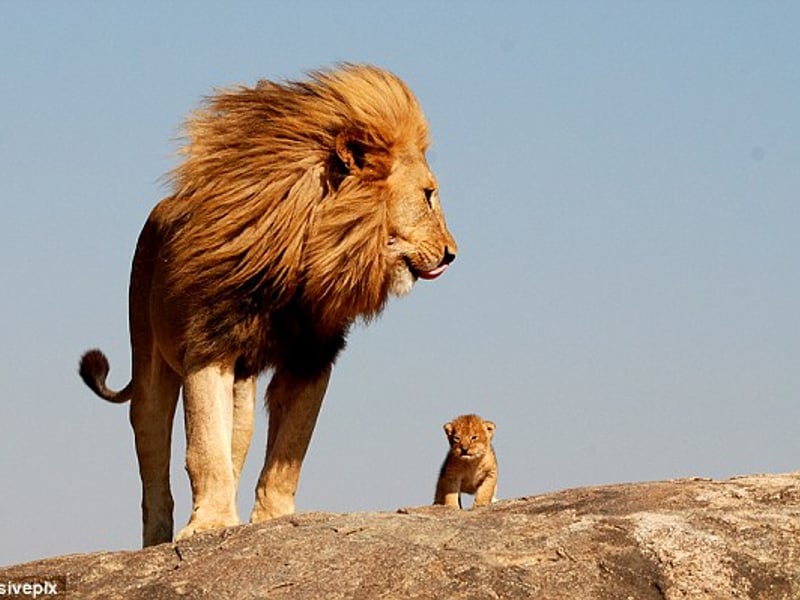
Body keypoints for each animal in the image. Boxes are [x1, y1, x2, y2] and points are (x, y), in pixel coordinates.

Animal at [82, 65, 460, 548]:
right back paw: (158, 540)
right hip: (149, 367)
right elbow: (204, 448)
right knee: (154, 467)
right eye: (429, 195)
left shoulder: (311, 358)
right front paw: (209, 525)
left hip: (242, 393)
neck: (304, 257)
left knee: (236, 444)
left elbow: (289, 451)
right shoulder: (208, 347)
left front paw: (270, 520)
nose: (452, 254)